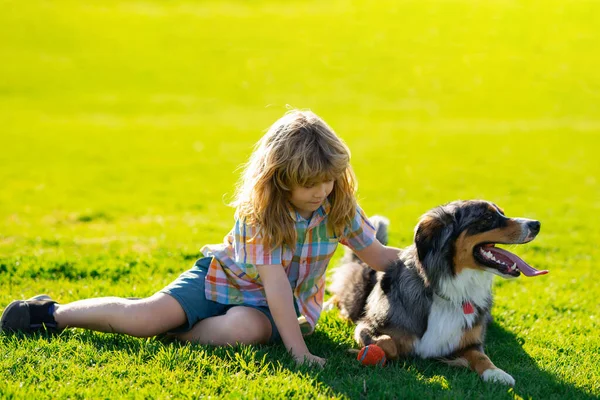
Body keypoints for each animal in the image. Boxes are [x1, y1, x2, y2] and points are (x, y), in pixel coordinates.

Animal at [328, 202, 548, 386]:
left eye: (502, 213)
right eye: (487, 217)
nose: (536, 224)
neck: (452, 289)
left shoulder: (471, 341)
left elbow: (481, 356)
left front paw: (496, 373)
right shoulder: (366, 326)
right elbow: (388, 344)